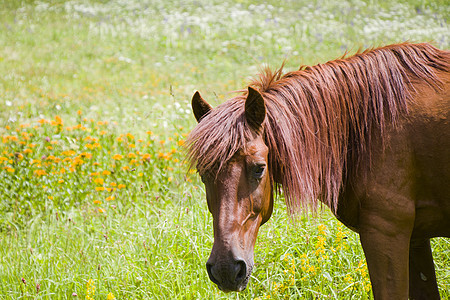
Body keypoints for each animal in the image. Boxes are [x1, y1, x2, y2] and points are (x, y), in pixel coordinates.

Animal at [186, 42, 450, 300]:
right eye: (203, 174)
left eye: (259, 168)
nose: (226, 269)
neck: (368, 127)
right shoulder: (415, 239)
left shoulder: (386, 232)